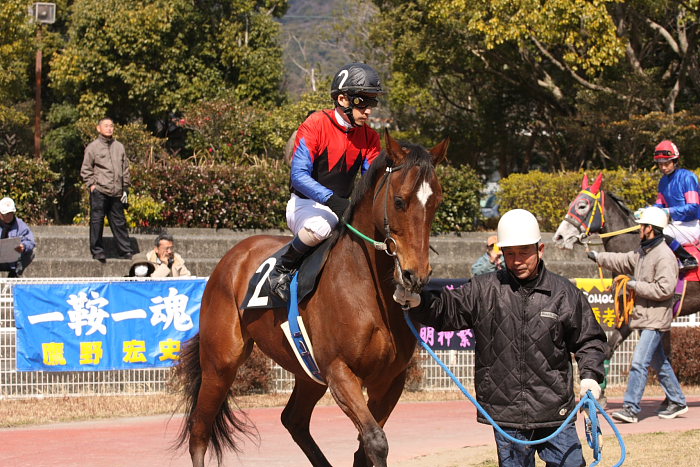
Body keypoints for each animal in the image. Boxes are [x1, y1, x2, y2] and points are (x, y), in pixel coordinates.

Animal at [174, 133, 448, 467]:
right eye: (399, 201)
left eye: (436, 202)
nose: (414, 275)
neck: (368, 292)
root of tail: (232, 256)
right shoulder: (339, 371)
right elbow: (375, 440)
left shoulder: (390, 379)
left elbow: (364, 446)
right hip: (220, 363)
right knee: (199, 429)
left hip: (307, 372)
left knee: (294, 419)